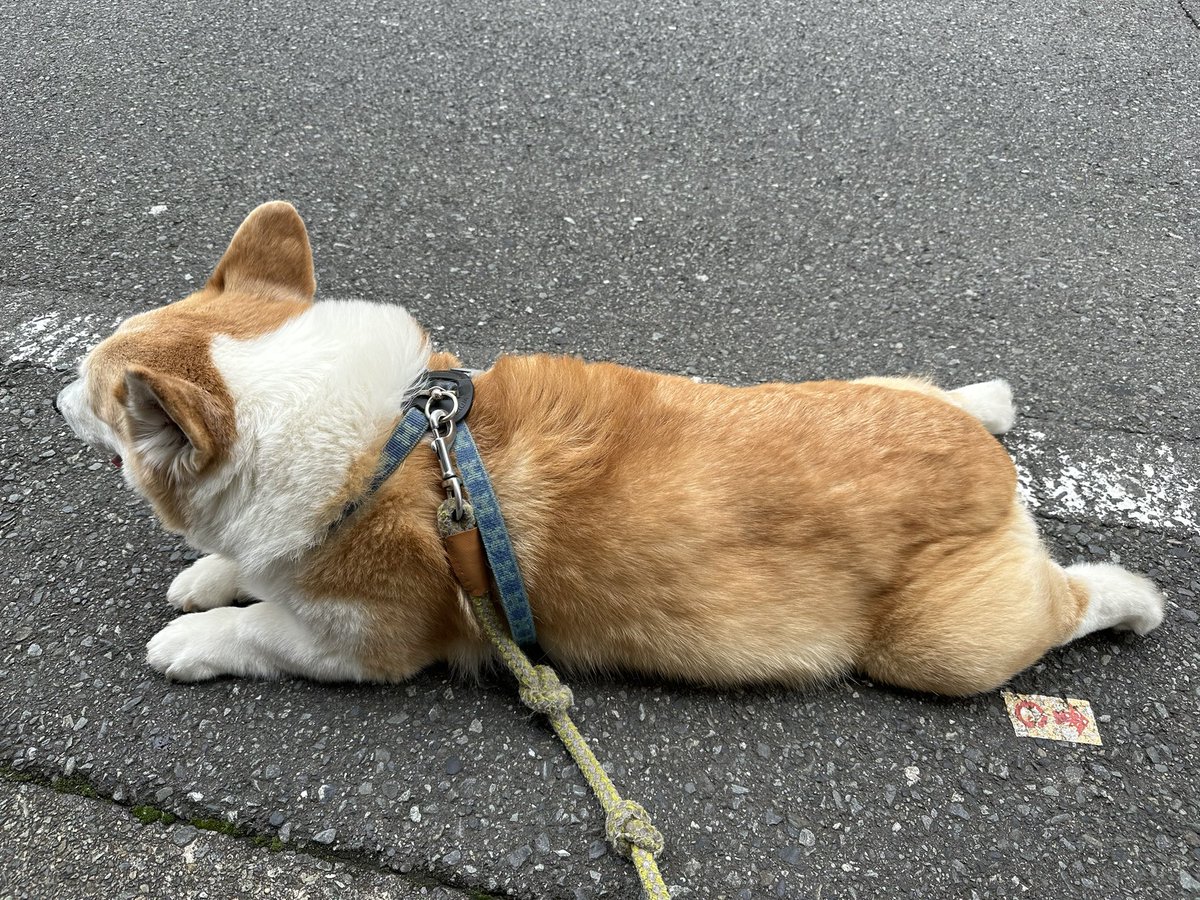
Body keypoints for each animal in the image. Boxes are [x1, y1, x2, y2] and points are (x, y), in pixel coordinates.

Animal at [54, 204, 1161, 696]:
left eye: (103, 397)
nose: (55, 386)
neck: (401, 444)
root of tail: (987, 469)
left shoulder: (366, 647)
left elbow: (261, 631)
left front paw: (195, 636)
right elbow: (240, 569)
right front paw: (207, 576)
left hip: (945, 650)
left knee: (1068, 603)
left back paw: (1134, 598)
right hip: (875, 394)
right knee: (930, 388)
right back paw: (987, 398)